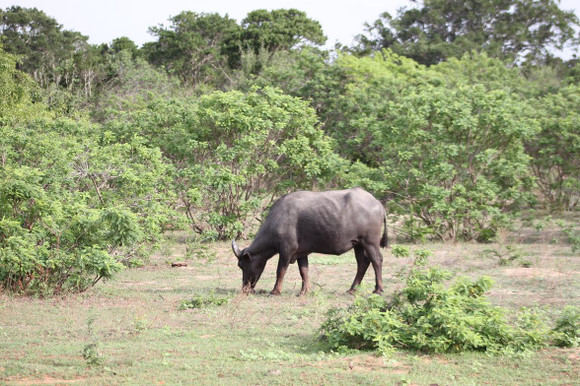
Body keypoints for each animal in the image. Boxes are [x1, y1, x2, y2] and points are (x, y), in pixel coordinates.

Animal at [229, 187, 388, 296]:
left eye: (242, 265)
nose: (245, 289)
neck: (279, 219)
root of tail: (377, 203)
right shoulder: (301, 253)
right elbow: (304, 271)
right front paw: (304, 291)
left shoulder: (286, 250)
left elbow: (281, 270)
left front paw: (275, 291)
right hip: (358, 244)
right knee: (362, 263)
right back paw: (352, 289)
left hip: (370, 242)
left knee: (377, 260)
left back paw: (378, 289)